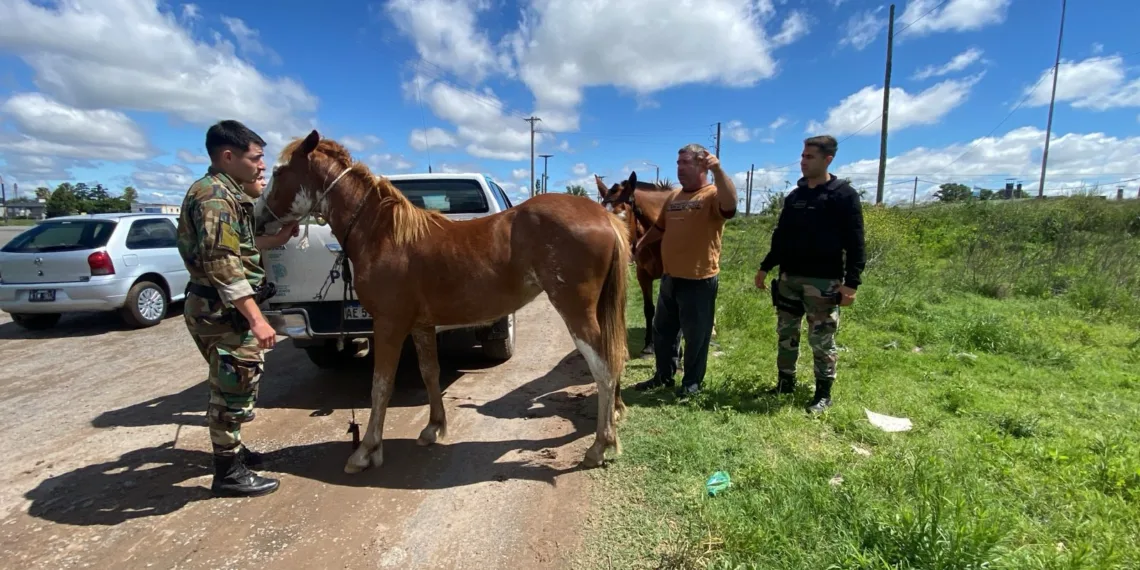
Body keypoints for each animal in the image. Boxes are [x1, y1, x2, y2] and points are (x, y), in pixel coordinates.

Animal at [257, 130, 631, 474]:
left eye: (277, 171)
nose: (258, 218)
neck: (385, 234)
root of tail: (603, 217)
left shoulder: (388, 324)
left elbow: (381, 385)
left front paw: (366, 451)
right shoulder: (421, 325)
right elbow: (430, 373)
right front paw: (433, 428)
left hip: (575, 310)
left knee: (603, 366)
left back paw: (600, 446)